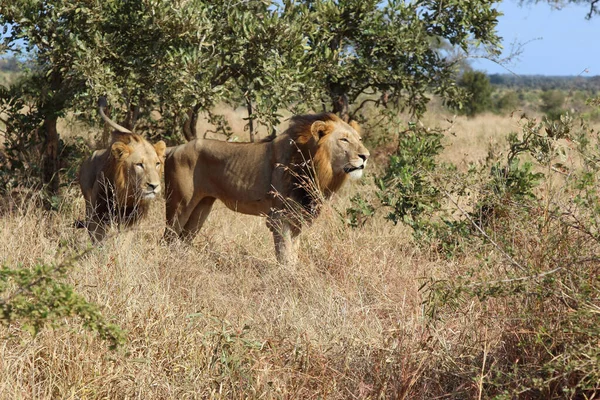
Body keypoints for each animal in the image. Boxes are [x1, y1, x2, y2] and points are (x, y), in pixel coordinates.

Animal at [78, 98, 166, 242]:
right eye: (139, 164)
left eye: (157, 163)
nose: (154, 186)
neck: (126, 191)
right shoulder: (99, 212)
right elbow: (98, 236)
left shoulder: (131, 217)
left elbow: (125, 240)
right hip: (88, 202)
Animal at [165, 111, 370, 264]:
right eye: (344, 140)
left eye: (359, 139)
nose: (366, 156)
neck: (318, 168)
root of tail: (174, 148)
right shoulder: (279, 218)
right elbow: (285, 257)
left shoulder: (297, 218)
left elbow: (293, 254)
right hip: (180, 205)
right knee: (168, 239)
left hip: (202, 207)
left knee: (182, 240)